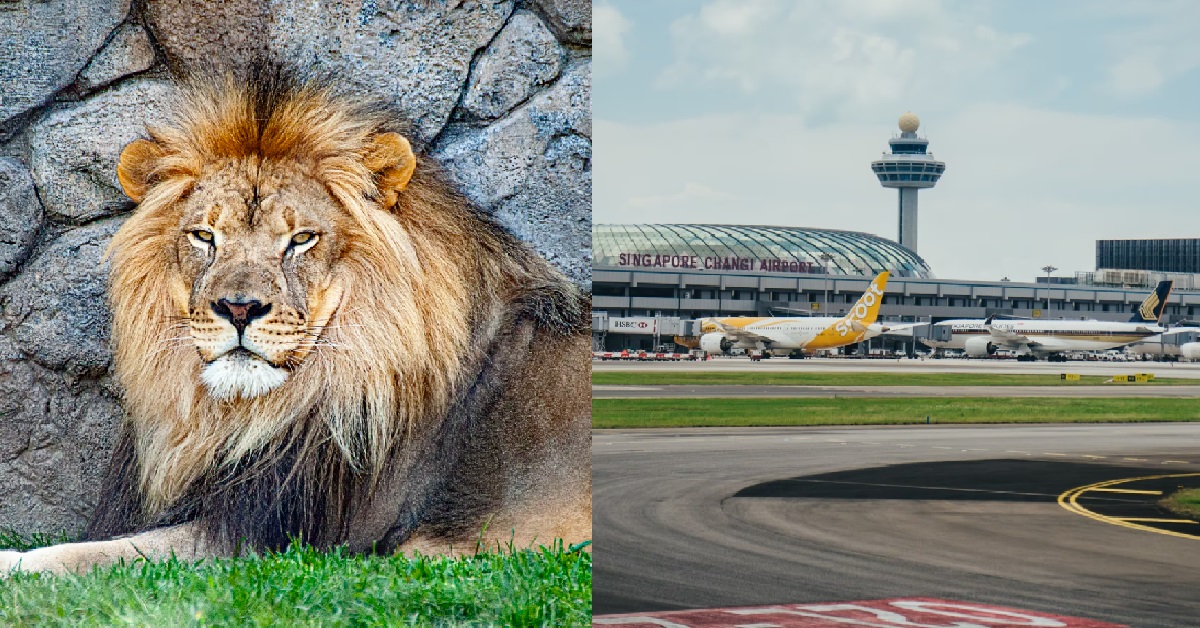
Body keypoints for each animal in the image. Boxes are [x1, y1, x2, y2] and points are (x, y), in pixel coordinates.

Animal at [0, 64, 591, 574]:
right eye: (204, 236)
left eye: (301, 239)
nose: (239, 308)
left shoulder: (271, 537)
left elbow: (97, 554)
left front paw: (17, 564)